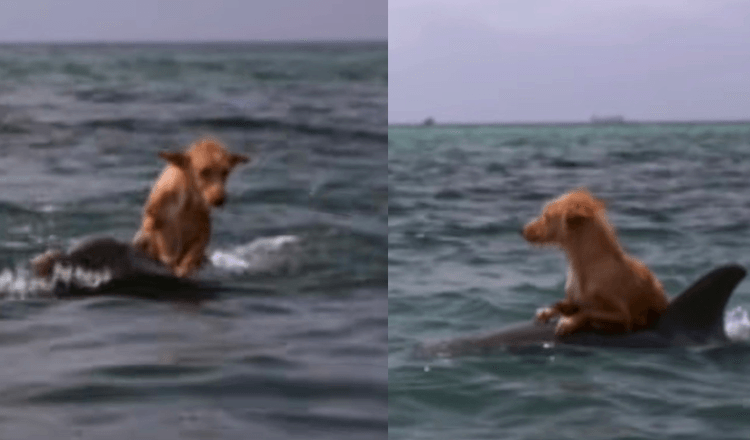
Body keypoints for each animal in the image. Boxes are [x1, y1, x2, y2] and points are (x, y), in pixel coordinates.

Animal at [134, 138, 251, 276]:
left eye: (225, 172)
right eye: (203, 171)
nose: (219, 200)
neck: (187, 202)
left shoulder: (202, 234)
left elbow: (190, 258)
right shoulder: (153, 226)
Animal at [524, 187, 668, 336]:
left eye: (546, 217)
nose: (522, 230)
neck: (580, 266)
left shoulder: (623, 316)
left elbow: (588, 311)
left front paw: (568, 321)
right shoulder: (572, 298)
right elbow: (564, 304)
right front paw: (547, 311)